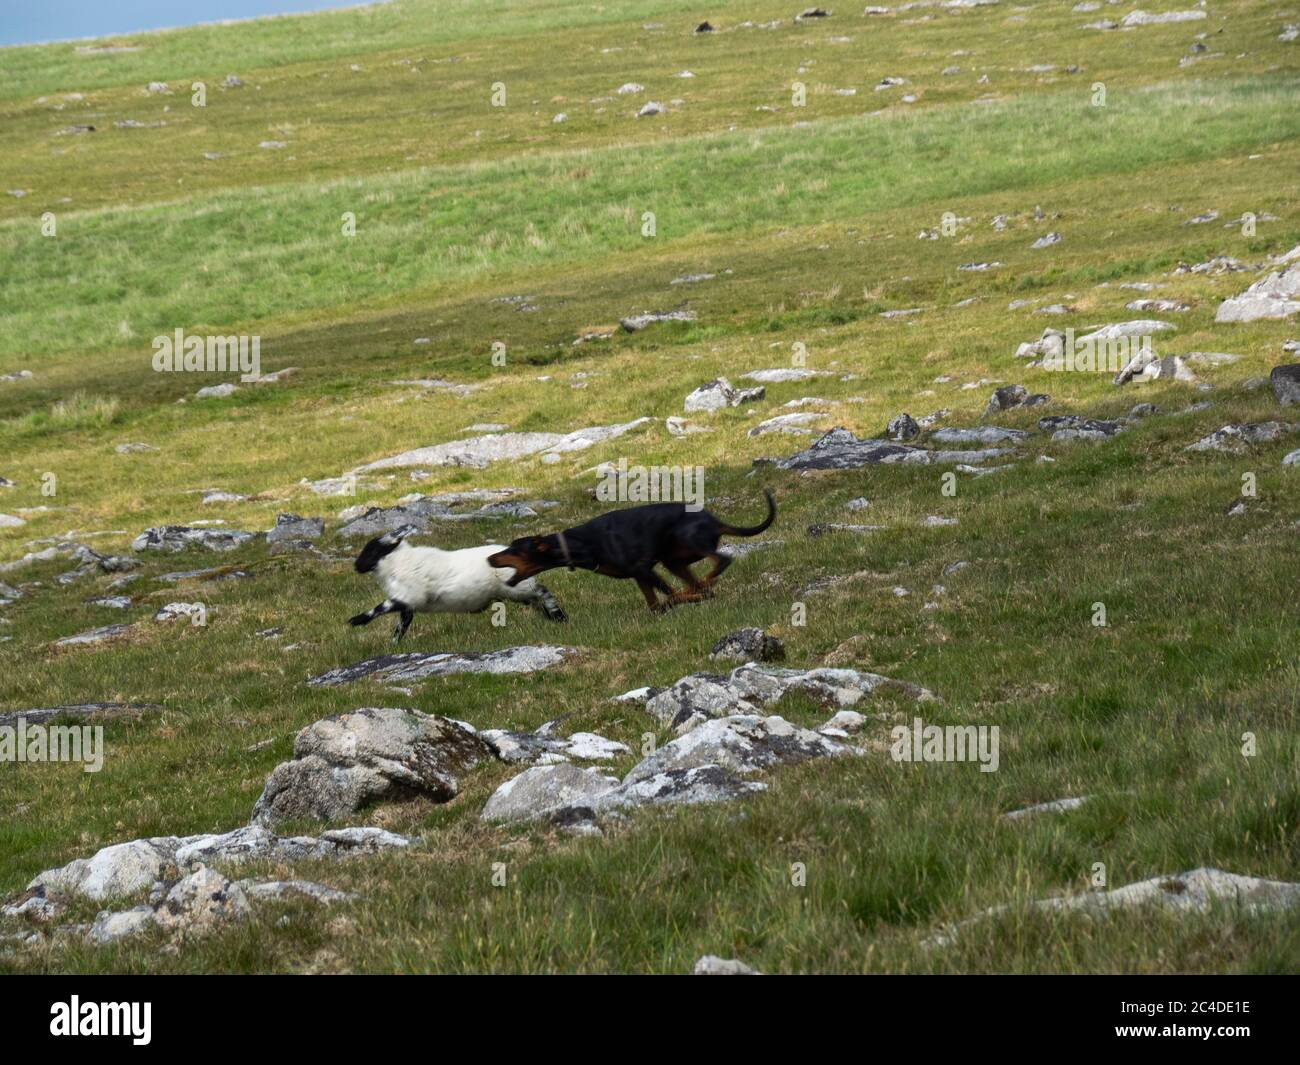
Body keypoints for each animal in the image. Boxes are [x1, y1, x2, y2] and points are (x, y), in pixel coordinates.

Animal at [486, 488, 769, 611]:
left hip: (690, 540)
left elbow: (670, 596)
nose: (489, 558)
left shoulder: (644, 569)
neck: (579, 543)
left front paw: (683, 599)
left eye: (514, 549)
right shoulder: (640, 575)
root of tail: (714, 520)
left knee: (720, 562)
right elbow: (655, 605)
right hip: (673, 560)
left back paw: (704, 587)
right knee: (700, 581)